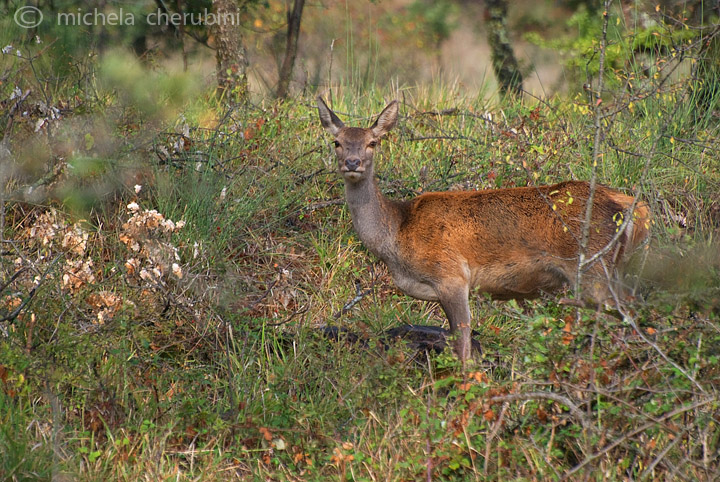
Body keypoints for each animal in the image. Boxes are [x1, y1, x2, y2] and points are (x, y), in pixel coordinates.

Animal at [318, 97, 648, 362]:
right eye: (336, 142)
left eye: (373, 142)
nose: (352, 162)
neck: (396, 236)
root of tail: (631, 207)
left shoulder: (452, 276)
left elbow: (464, 349)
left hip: (594, 268)